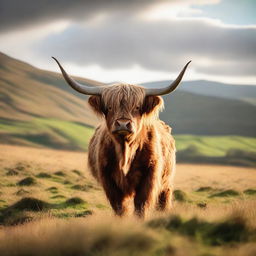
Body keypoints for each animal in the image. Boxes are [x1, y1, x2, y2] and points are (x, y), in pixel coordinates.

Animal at [53, 58, 190, 218]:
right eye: (110, 107)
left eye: (137, 107)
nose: (123, 124)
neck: (126, 151)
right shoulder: (108, 178)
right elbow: (119, 206)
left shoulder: (150, 176)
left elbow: (141, 204)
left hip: (166, 181)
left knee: (164, 200)